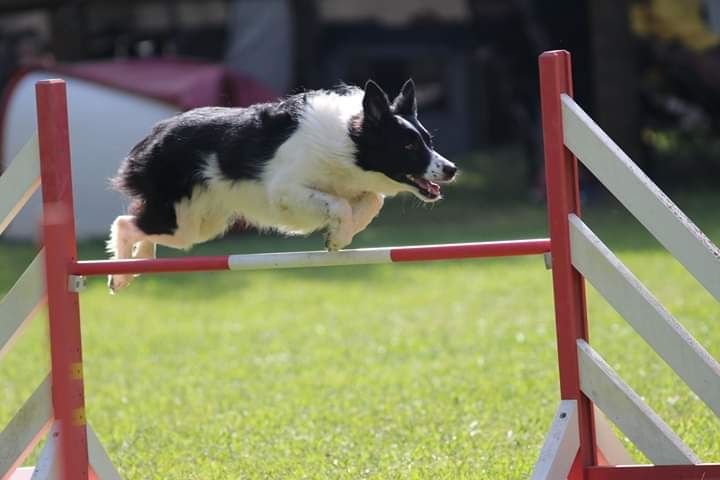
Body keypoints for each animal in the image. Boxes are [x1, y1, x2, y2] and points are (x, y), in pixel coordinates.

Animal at [107, 79, 456, 292]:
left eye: (428, 141)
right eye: (408, 146)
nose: (451, 170)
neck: (349, 143)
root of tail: (157, 132)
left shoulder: (356, 186)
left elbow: (371, 201)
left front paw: (341, 234)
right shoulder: (285, 190)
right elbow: (340, 204)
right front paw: (337, 236)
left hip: (197, 224)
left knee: (141, 228)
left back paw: (136, 265)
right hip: (179, 218)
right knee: (125, 223)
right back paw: (119, 275)